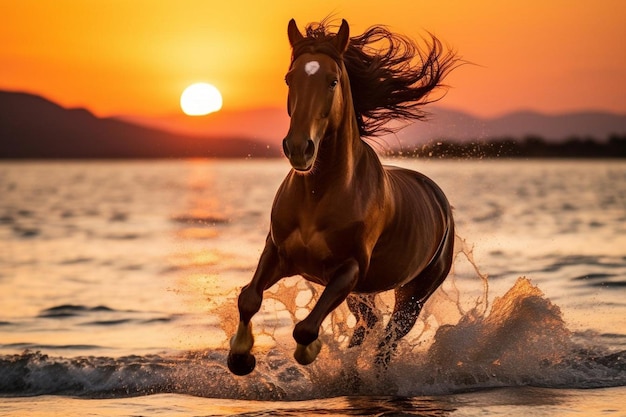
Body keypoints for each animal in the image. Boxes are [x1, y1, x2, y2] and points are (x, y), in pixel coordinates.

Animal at [227, 18, 456, 374]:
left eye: (332, 81)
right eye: (289, 78)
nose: (299, 148)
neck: (318, 195)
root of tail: (438, 197)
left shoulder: (349, 269)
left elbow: (306, 328)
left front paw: (309, 350)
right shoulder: (277, 252)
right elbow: (249, 297)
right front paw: (240, 357)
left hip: (414, 292)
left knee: (389, 338)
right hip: (363, 293)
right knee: (369, 324)